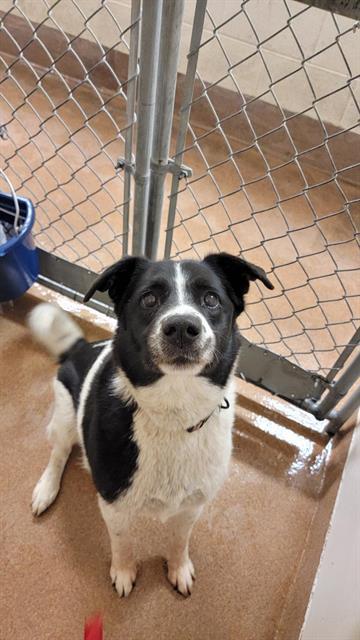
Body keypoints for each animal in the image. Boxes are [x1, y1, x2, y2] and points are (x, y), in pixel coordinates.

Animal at [28, 252, 272, 596]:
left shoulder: (191, 507)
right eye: (149, 299)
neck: (174, 417)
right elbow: (122, 543)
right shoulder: (114, 506)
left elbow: (179, 541)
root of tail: (80, 347)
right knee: (58, 453)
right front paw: (124, 571)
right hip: (63, 416)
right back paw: (46, 489)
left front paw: (178, 568)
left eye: (211, 299)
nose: (182, 326)